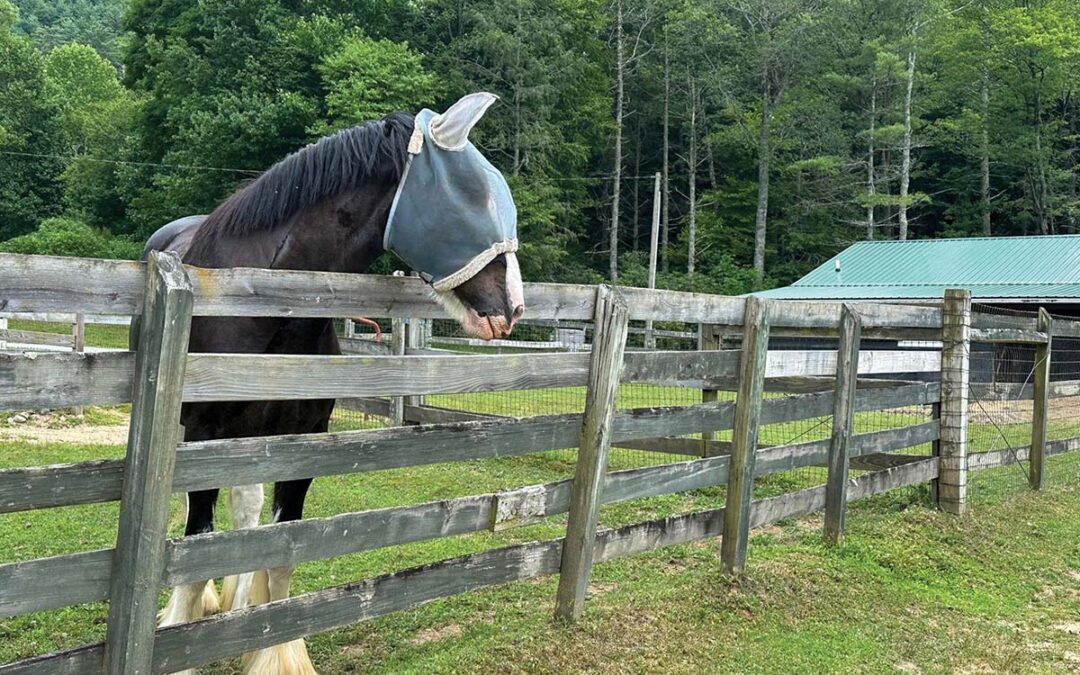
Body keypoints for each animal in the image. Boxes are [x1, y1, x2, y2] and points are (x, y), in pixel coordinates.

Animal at [139, 93, 524, 675]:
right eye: (474, 196)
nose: (512, 308)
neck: (269, 304)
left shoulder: (303, 443)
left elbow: (279, 552)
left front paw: (273, 650)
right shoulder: (202, 433)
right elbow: (195, 541)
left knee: (245, 508)